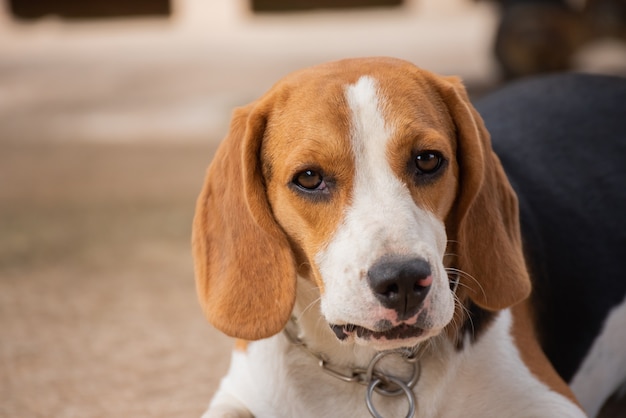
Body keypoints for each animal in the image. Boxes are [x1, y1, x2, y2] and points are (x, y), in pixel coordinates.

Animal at [191, 56, 624, 418]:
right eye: (309, 178)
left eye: (428, 160)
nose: (402, 281)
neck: (372, 368)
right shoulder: (239, 392)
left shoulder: (547, 401)